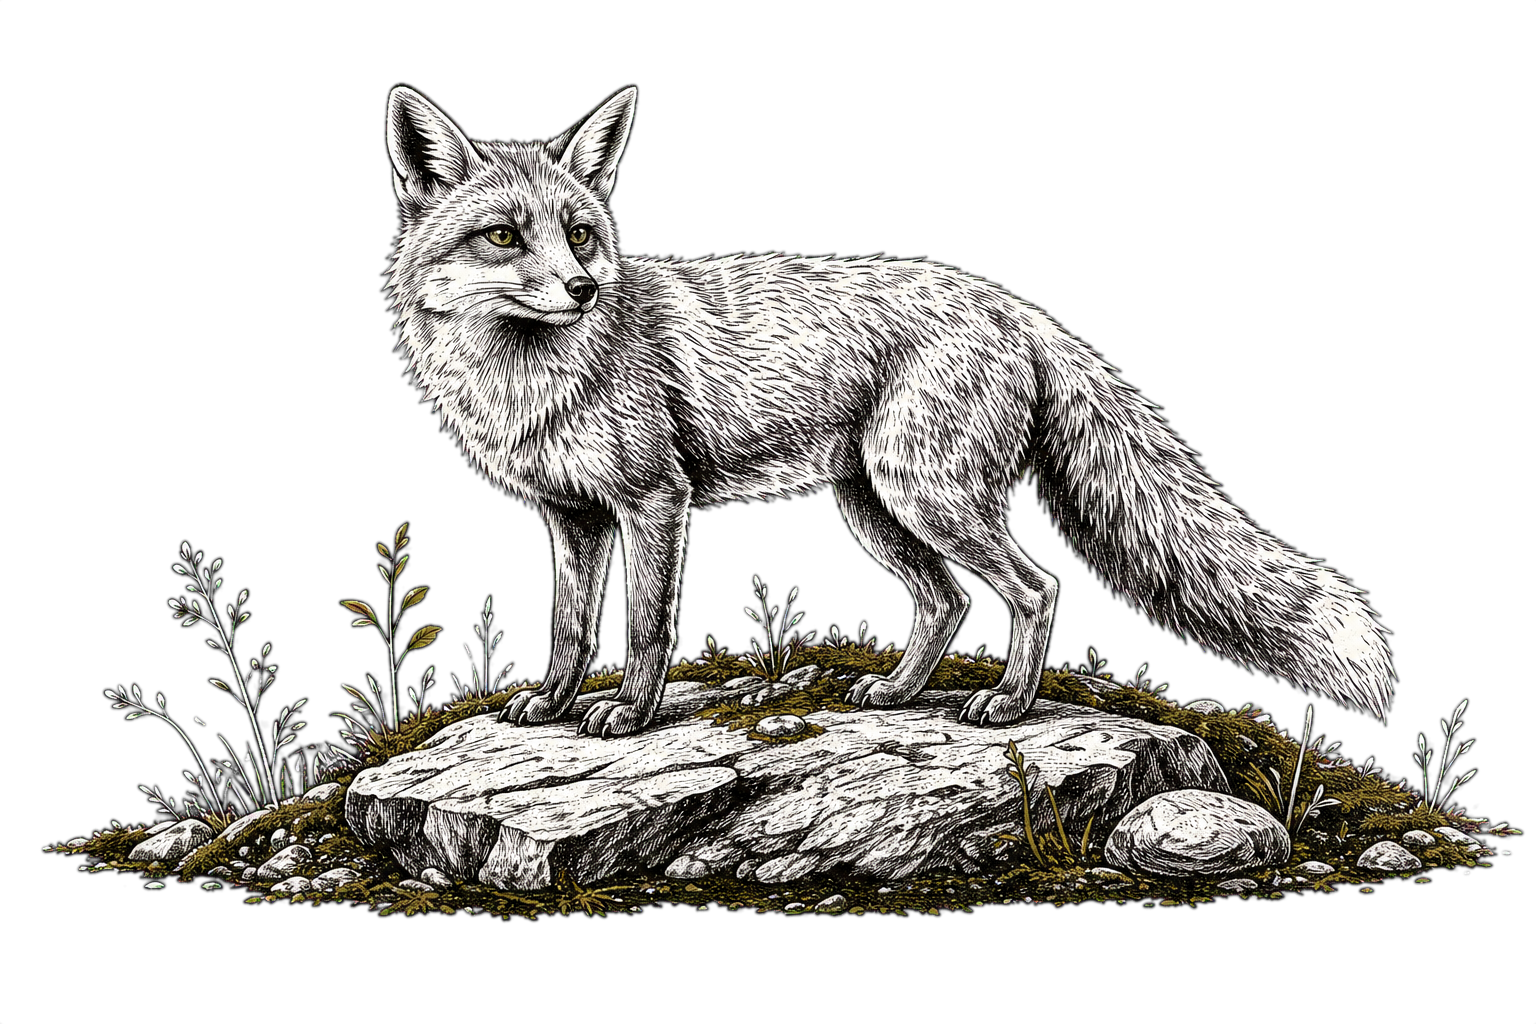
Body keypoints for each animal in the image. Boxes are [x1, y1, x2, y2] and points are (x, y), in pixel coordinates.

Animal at [385, 86, 1394, 739]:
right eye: (504, 236)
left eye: (582, 233)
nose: (584, 288)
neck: (530, 381)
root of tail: (1012, 305)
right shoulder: (573, 516)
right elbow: (570, 626)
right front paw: (553, 704)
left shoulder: (654, 502)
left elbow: (644, 628)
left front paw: (630, 714)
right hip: (876, 508)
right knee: (947, 601)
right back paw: (903, 696)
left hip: (927, 497)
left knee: (1035, 588)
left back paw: (1009, 706)